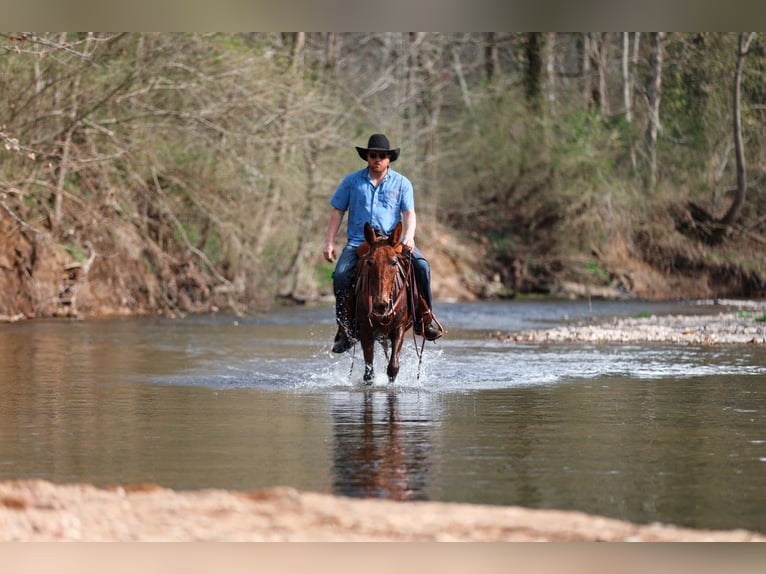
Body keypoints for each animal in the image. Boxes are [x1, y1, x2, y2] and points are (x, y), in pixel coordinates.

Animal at [354, 221, 413, 384]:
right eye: (369, 262)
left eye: (394, 262)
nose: (381, 305)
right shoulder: (366, 329)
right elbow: (369, 373)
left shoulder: (399, 327)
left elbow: (393, 367)